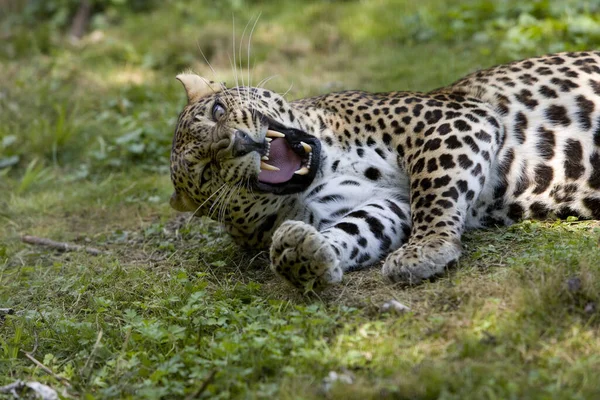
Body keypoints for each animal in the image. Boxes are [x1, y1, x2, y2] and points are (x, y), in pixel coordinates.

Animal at [168, 52, 600, 290]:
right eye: (207, 172)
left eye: (218, 111)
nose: (236, 143)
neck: (327, 162)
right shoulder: (387, 203)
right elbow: (360, 227)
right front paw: (302, 253)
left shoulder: (450, 120)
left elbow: (434, 189)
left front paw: (425, 249)